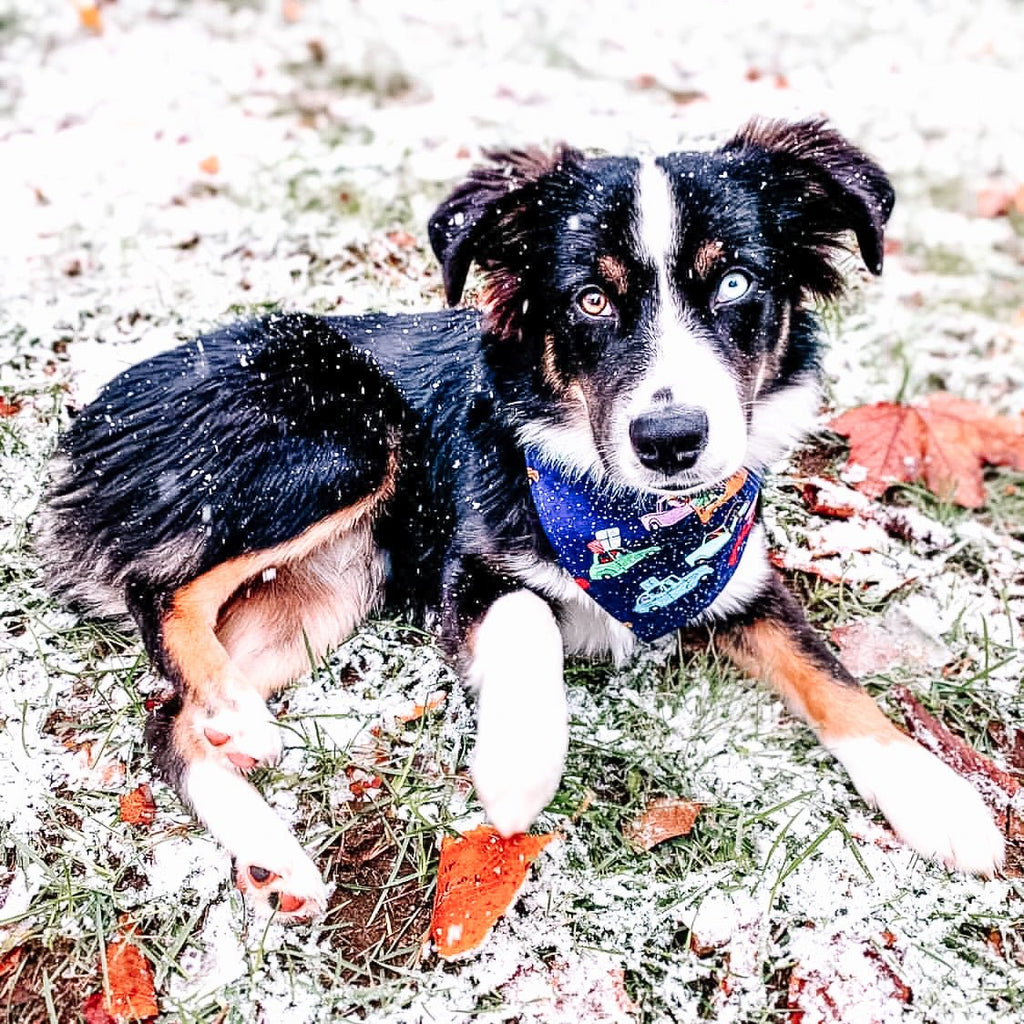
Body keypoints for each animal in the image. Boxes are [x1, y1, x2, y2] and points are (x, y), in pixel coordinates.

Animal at [36, 119, 1003, 921]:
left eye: (734, 282)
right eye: (589, 300)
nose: (671, 441)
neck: (635, 521)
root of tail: (97, 413)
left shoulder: (741, 579)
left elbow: (835, 678)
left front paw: (941, 800)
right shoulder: (469, 570)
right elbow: (529, 614)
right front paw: (517, 767)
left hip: (327, 594)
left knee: (166, 719)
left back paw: (269, 846)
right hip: (345, 437)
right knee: (162, 590)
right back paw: (237, 714)